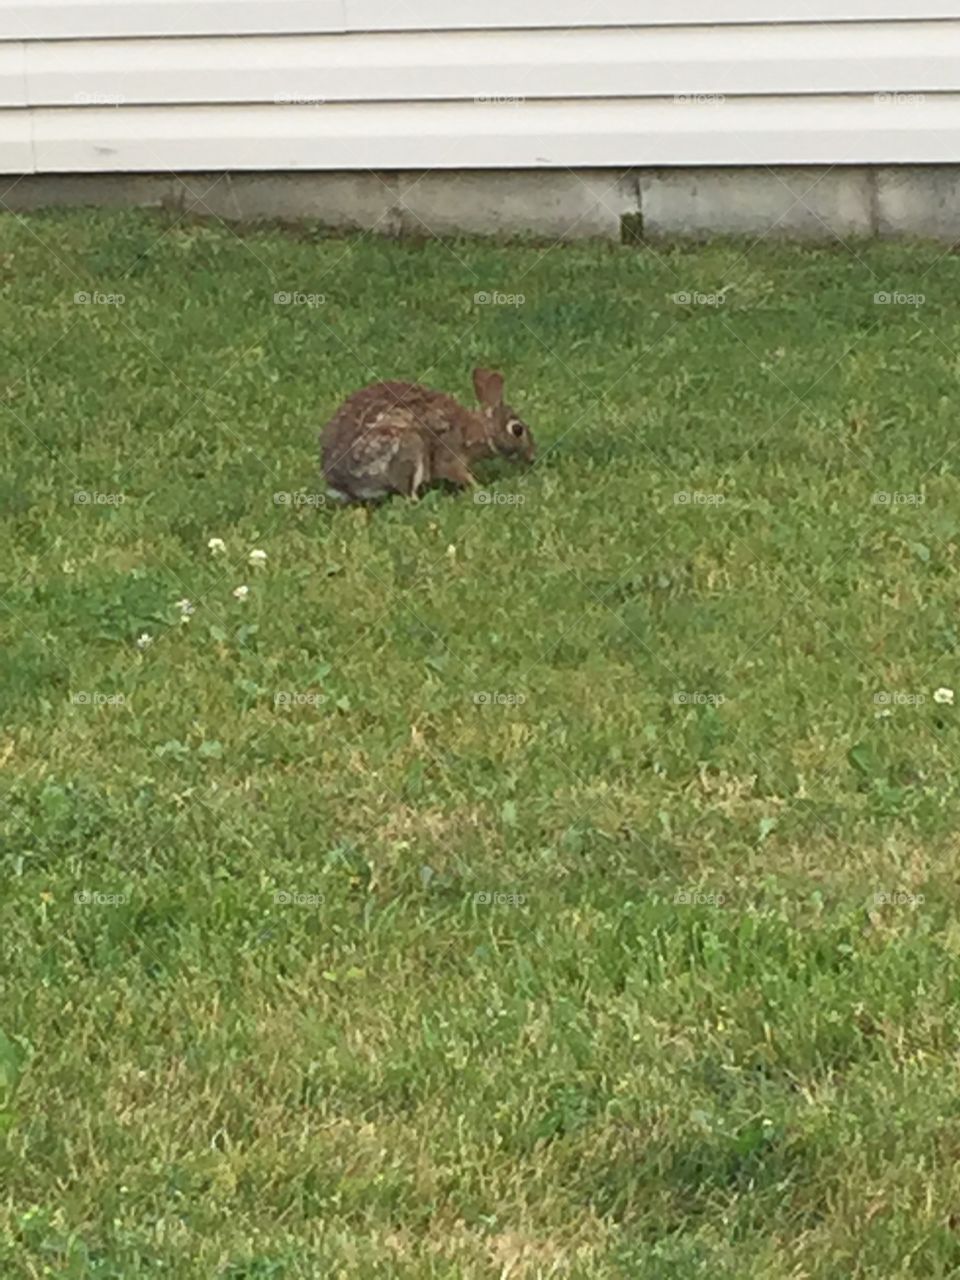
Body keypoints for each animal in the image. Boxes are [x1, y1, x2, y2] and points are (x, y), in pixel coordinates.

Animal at [320, 367, 534, 503]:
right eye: (517, 429)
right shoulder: (450, 454)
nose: (532, 456)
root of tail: (341, 484)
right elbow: (459, 473)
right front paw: (480, 488)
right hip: (408, 447)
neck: (477, 429)